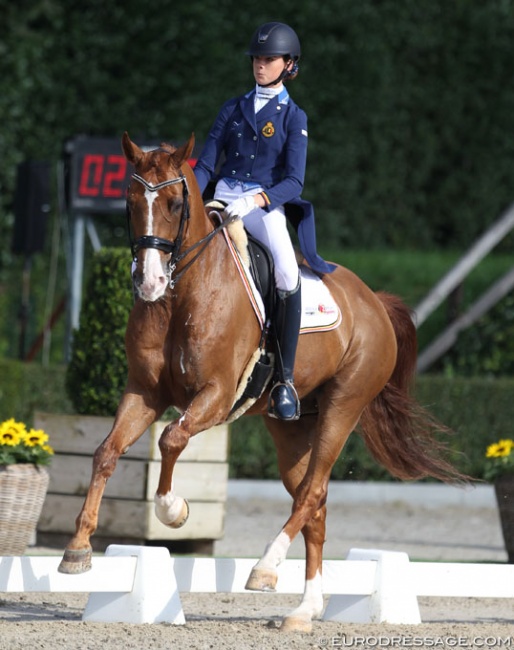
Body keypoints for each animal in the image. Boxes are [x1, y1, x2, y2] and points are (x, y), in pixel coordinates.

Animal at [58, 133, 462, 632]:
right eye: (130, 202)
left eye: (175, 204)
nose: (148, 282)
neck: (182, 295)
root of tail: (373, 300)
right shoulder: (144, 393)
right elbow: (106, 453)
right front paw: (77, 549)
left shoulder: (215, 396)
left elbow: (172, 439)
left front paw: (174, 510)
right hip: (291, 426)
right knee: (314, 506)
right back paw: (304, 610)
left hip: (343, 406)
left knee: (311, 493)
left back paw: (266, 568)